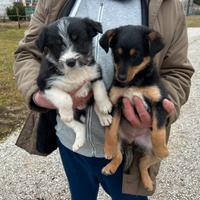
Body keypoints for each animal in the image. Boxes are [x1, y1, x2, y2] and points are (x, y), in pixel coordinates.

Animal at [36, 17, 112, 152]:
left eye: (78, 40)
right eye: (58, 45)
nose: (70, 61)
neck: (74, 72)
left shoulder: (95, 71)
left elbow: (99, 91)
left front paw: (104, 105)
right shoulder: (44, 84)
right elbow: (64, 97)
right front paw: (67, 113)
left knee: (93, 104)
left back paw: (104, 117)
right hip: (61, 114)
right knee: (79, 126)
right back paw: (78, 141)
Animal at [99, 25, 169, 191]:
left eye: (136, 56)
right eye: (116, 55)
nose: (121, 78)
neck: (134, 82)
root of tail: (133, 141)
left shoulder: (159, 103)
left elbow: (158, 131)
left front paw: (162, 148)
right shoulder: (115, 104)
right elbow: (110, 131)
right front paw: (108, 149)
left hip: (151, 152)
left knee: (142, 163)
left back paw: (148, 182)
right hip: (120, 140)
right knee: (120, 156)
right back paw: (110, 167)